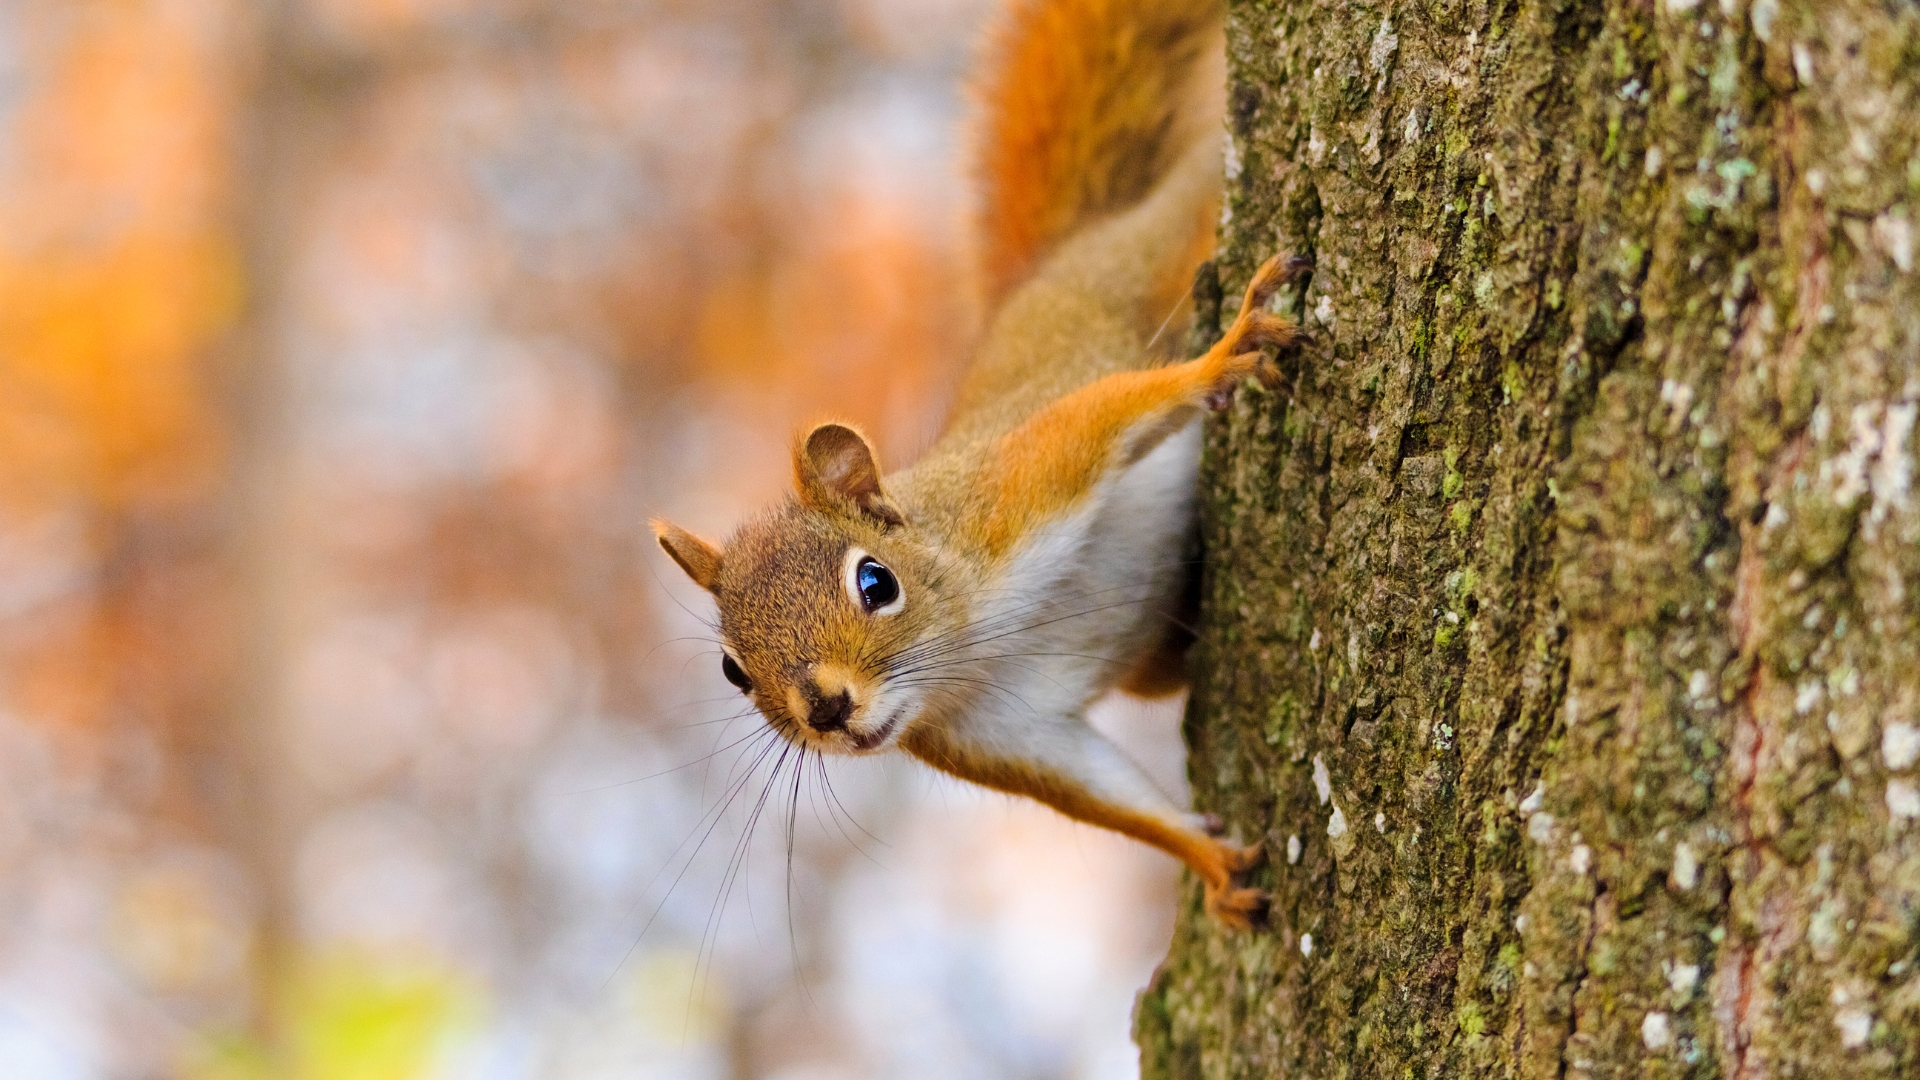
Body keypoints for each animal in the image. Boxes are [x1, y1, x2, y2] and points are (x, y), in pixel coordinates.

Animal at [648, 0, 1305, 926]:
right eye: (733, 672)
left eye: (876, 582)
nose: (827, 709)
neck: (975, 645)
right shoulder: (999, 735)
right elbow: (1109, 797)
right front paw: (1210, 863)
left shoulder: (1017, 489)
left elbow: (1105, 417)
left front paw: (1223, 357)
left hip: (1156, 254)